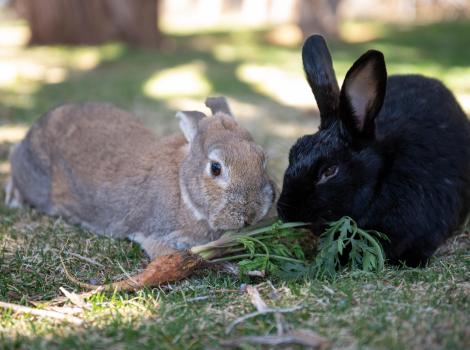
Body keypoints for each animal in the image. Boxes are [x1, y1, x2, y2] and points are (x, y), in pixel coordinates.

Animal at [5, 97, 276, 258]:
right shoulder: (155, 235)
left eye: (262, 158)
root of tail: (36, 127)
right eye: (216, 168)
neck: (183, 190)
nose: (252, 213)